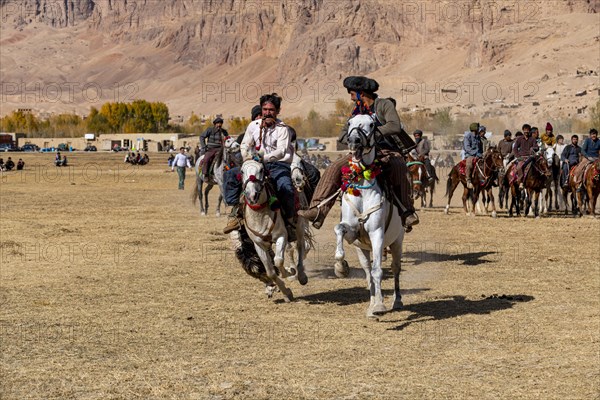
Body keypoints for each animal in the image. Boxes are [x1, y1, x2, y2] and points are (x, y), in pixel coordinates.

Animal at [239, 158, 308, 302]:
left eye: (261, 170)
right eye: (242, 171)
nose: (252, 195)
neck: (260, 214)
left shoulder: (281, 236)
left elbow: (278, 260)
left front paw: (289, 272)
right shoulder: (259, 244)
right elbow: (270, 272)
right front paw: (286, 293)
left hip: (299, 226)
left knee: (300, 246)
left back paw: (301, 275)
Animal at [330, 114, 406, 318]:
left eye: (372, 124)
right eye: (349, 123)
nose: (354, 141)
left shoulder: (377, 233)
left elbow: (378, 271)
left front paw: (380, 306)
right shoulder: (353, 232)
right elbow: (339, 229)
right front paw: (340, 266)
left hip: (397, 241)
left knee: (395, 268)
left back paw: (396, 301)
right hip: (362, 249)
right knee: (366, 271)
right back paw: (371, 304)